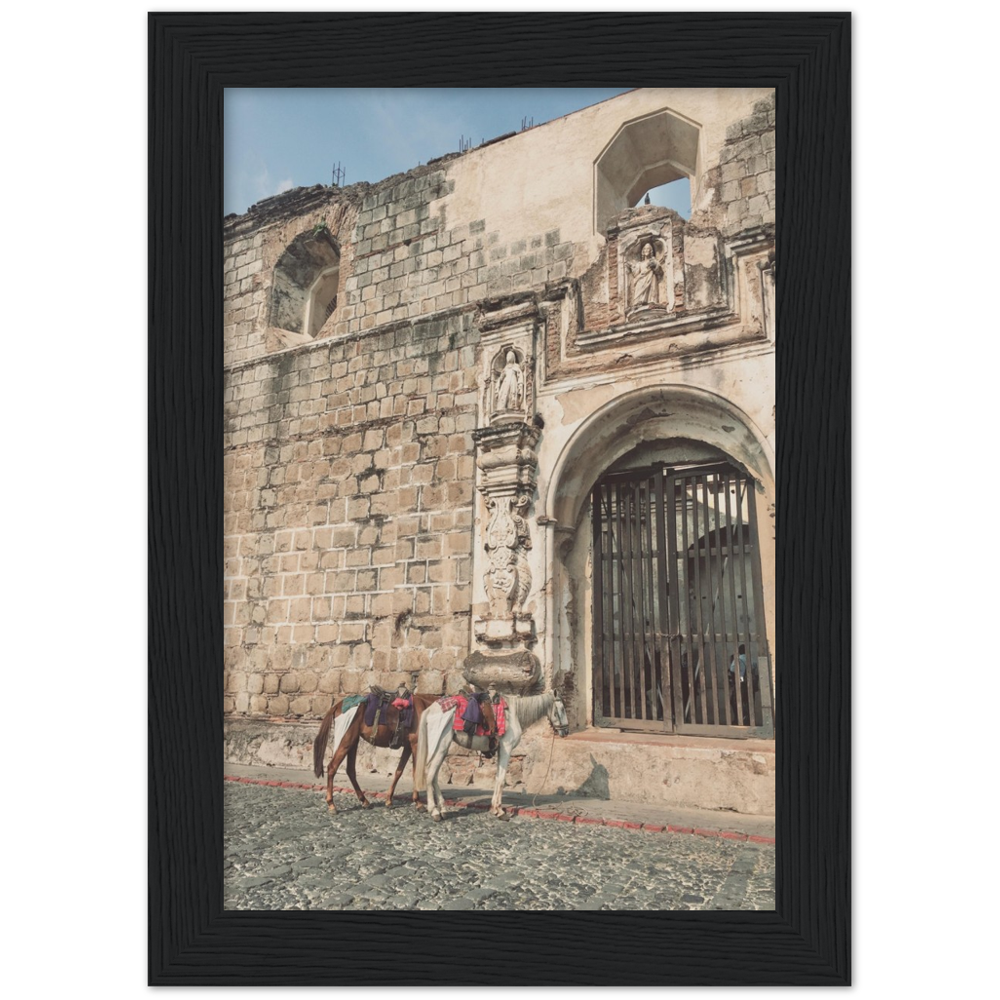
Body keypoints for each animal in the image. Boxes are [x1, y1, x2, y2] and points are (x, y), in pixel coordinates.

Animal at [416, 692, 572, 824]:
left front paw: (495, 808)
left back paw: (442, 809)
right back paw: (434, 811)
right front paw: (500, 812)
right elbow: (502, 780)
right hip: (440, 747)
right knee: (429, 776)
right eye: (562, 709)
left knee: (434, 777)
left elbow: (497, 779)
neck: (514, 713)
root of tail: (430, 710)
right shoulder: (506, 749)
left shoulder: (500, 750)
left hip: (442, 749)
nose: (566, 731)